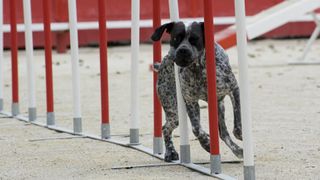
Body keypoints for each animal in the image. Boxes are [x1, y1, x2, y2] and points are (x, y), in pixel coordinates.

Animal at [151, 21, 244, 162]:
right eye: (176, 38)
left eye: (195, 39)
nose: (183, 50)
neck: (198, 68)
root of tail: (162, 64)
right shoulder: (190, 101)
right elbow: (196, 129)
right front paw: (206, 143)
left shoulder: (233, 89)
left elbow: (237, 120)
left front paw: (240, 134)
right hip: (174, 111)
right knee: (166, 128)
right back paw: (170, 152)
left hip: (219, 106)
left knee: (223, 133)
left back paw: (237, 150)